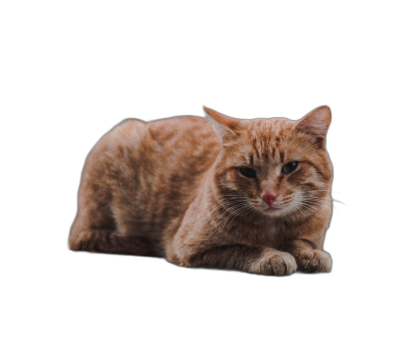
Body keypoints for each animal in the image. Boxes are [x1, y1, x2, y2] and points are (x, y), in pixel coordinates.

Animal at [69, 107, 334, 276]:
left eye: (290, 167)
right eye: (247, 171)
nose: (268, 196)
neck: (273, 228)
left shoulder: (310, 233)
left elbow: (301, 242)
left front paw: (310, 255)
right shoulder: (191, 249)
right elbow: (243, 248)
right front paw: (271, 256)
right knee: (90, 238)